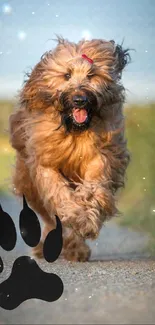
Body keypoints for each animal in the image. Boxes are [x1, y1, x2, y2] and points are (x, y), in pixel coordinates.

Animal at [9, 37, 130, 260]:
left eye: (91, 75)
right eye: (66, 75)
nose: (79, 99)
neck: (74, 130)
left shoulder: (101, 155)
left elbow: (93, 188)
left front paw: (86, 221)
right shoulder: (45, 162)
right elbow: (58, 192)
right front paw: (75, 215)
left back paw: (76, 248)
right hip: (29, 185)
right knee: (49, 216)